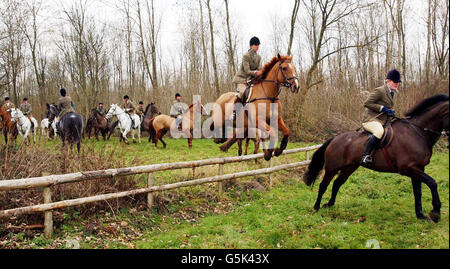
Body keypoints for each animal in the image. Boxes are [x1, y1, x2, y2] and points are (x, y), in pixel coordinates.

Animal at [304, 94, 448, 222]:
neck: (417, 132)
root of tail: (335, 139)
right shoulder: (408, 169)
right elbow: (432, 183)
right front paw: (435, 213)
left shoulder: (418, 168)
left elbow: (418, 192)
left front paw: (421, 215)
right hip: (332, 168)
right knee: (323, 185)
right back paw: (316, 207)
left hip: (349, 167)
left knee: (337, 183)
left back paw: (329, 204)